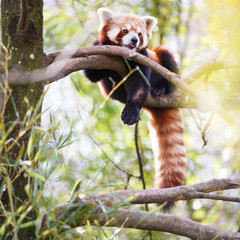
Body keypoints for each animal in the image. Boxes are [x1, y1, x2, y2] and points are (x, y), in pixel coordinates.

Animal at [83, 7, 187, 210]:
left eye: (139, 34)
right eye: (125, 30)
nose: (134, 40)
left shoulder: (143, 59)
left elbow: (140, 85)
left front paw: (131, 111)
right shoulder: (100, 58)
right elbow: (92, 74)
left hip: (162, 60)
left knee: (165, 56)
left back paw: (161, 88)